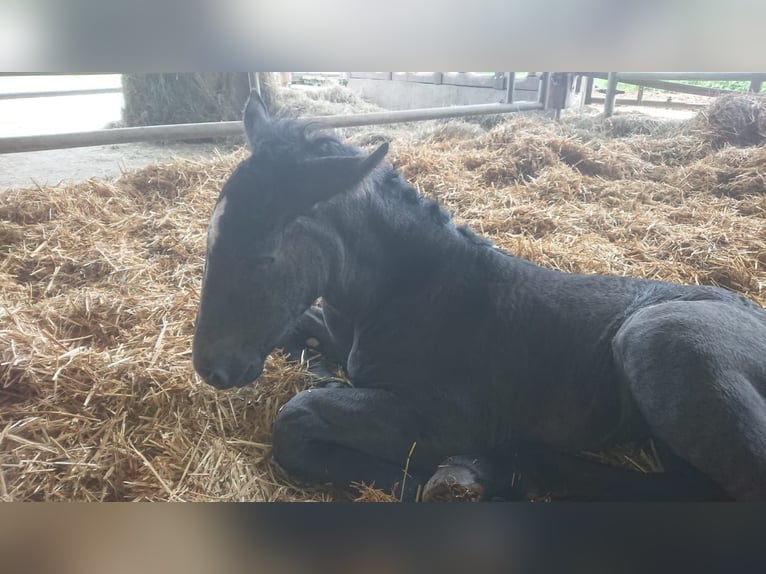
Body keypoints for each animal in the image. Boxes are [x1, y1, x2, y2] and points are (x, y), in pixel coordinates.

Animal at [194, 92, 766, 502]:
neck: (409, 290)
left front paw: (416, 481)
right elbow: (302, 332)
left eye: (263, 256)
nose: (211, 369)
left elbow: (297, 416)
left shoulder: (445, 419)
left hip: (657, 337)